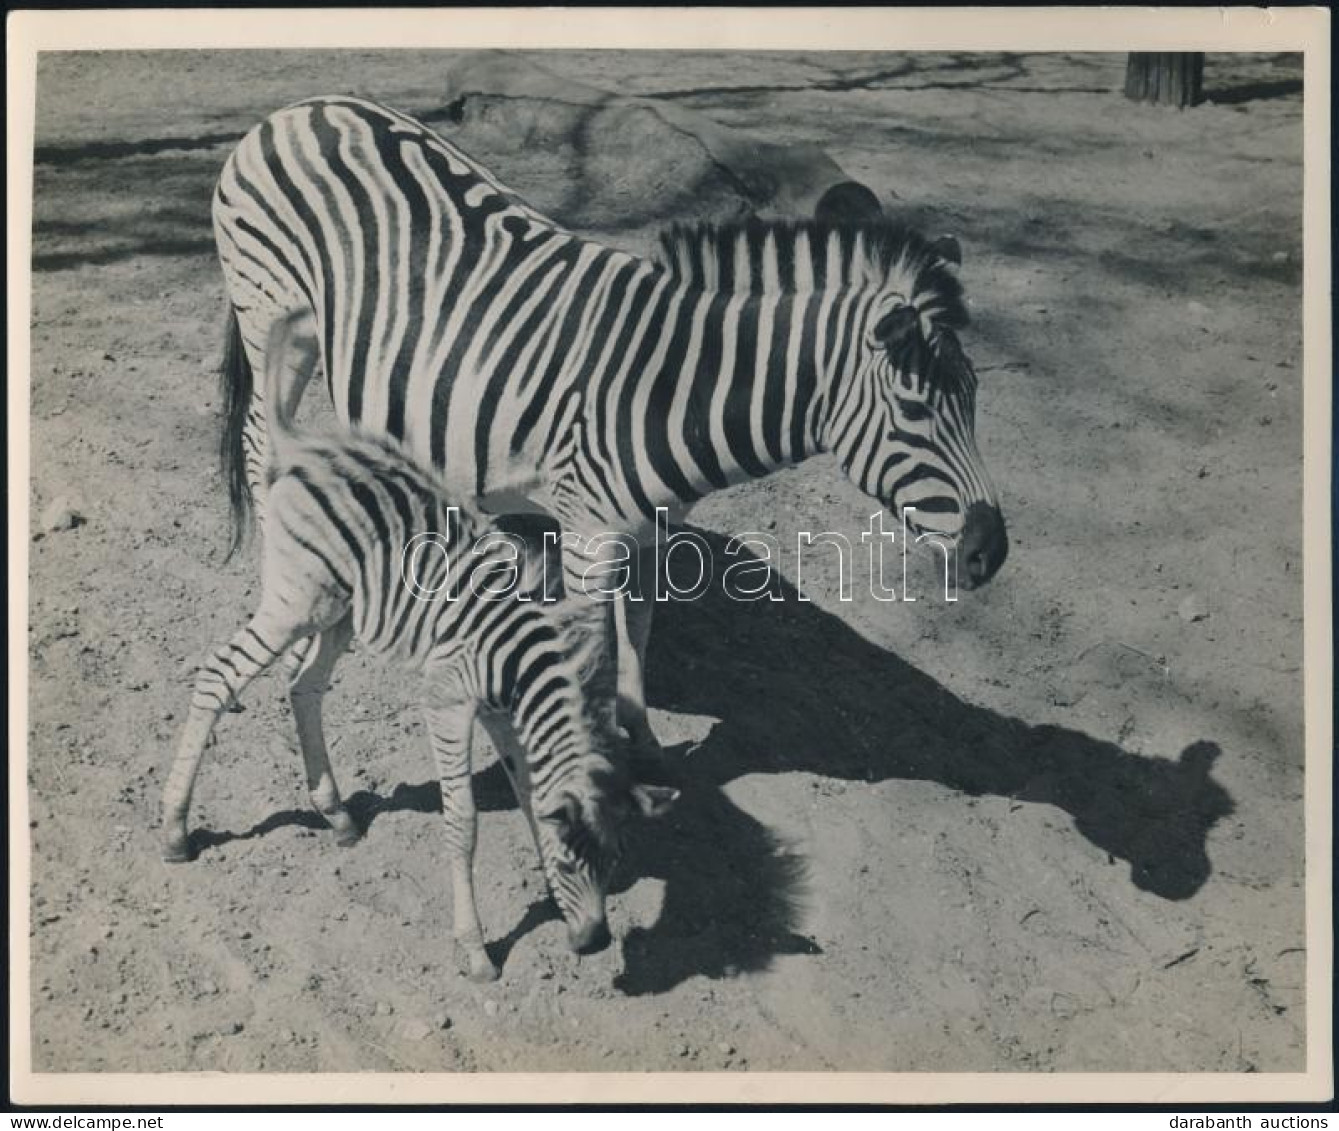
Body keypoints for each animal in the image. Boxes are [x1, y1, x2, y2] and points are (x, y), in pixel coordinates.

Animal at [160, 310, 674, 979]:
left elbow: (529, 793)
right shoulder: (447, 699)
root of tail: (303, 444)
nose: (593, 943)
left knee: (303, 686)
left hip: (339, 608)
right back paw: (175, 829)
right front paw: (475, 948)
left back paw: (337, 815)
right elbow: (464, 820)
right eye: (572, 859)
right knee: (220, 672)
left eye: (613, 859)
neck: (523, 661)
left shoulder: (500, 713)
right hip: (296, 600)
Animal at [211, 92, 1006, 754]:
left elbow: (640, 631)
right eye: (914, 408)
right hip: (272, 320)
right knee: (256, 443)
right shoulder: (588, 536)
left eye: (973, 396)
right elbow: (590, 648)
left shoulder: (652, 528)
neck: (669, 388)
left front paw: (641, 736)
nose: (991, 554)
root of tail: (303, 108)